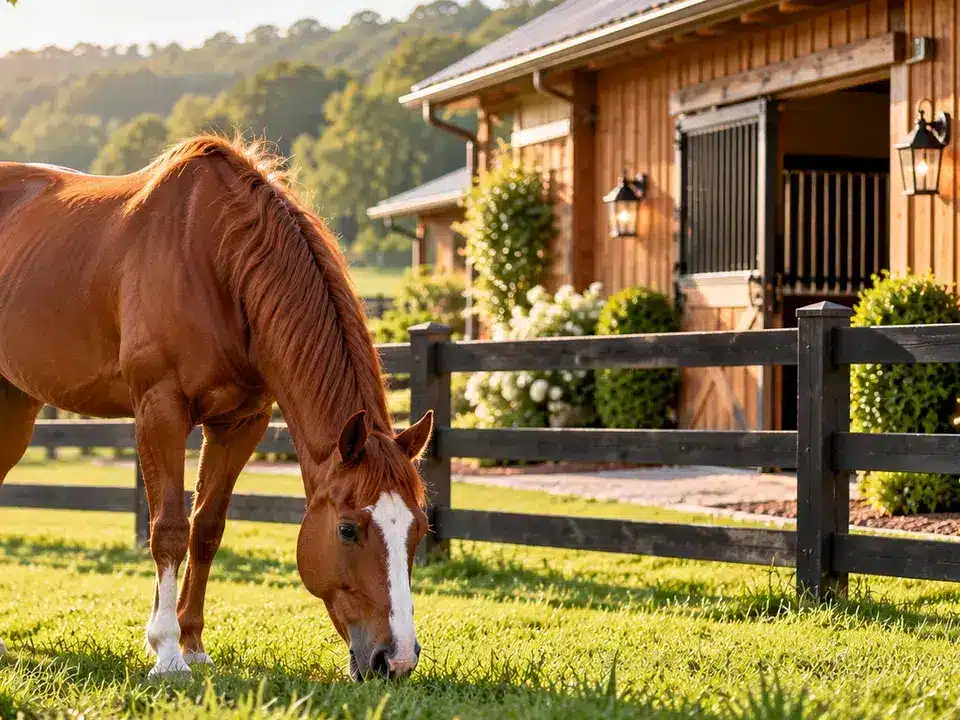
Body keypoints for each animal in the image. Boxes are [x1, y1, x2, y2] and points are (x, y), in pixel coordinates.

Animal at [0, 136, 434, 682]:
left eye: (419, 529)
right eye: (347, 529)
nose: (395, 659)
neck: (215, 262)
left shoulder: (239, 424)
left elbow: (206, 529)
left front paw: (191, 645)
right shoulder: (160, 411)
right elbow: (168, 529)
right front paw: (167, 654)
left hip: (15, 403)